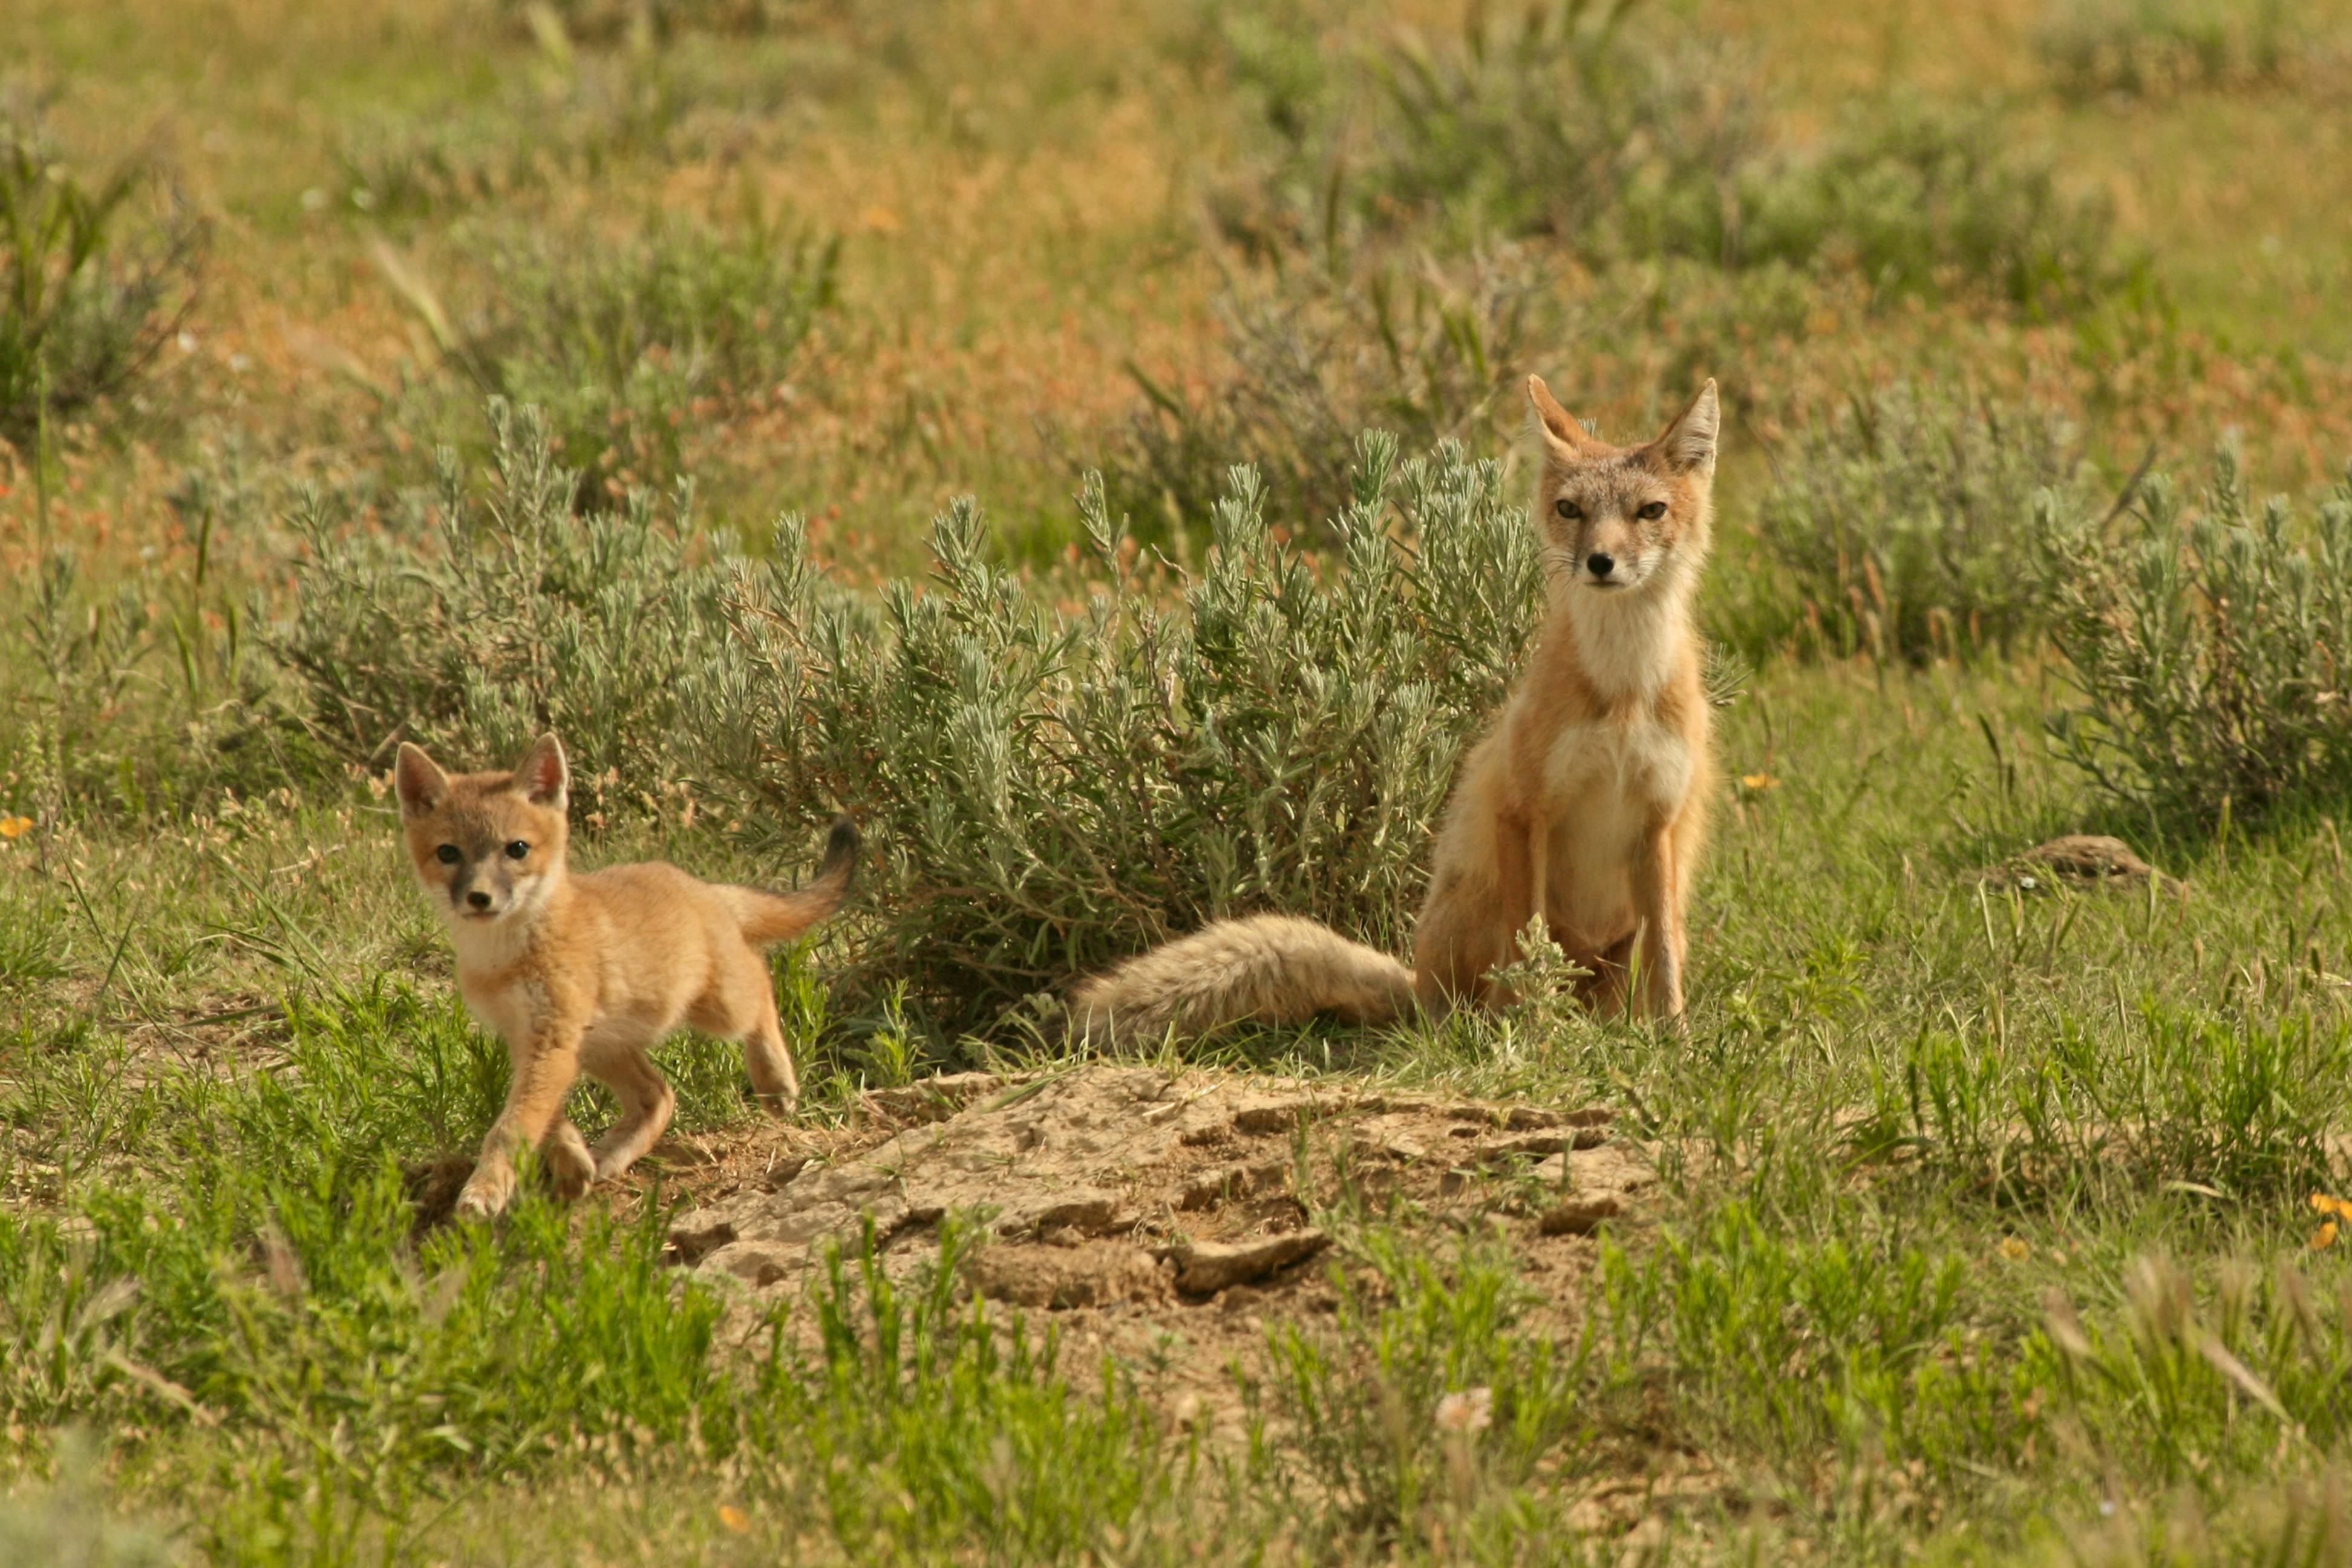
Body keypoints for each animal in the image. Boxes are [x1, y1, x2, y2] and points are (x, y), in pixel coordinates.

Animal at [392, 732, 857, 1219]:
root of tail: (701, 887)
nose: (479, 898)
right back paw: (608, 1157)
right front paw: (572, 1159)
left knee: (761, 982)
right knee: (660, 1095)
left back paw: (775, 1081)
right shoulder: (528, 1039)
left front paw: (485, 1189)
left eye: (516, 849)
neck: (504, 960)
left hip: (717, 1013)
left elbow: (512, 1126)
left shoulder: (552, 1040)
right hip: (603, 1047)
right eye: (448, 853)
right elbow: (542, 1117)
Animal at [1067, 376, 1719, 1040]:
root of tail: (1418, 985)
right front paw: (1529, 1034)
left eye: (1650, 511)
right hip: (1478, 903)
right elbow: (1526, 943)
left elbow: (1665, 955)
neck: (1622, 692)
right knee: (1486, 990)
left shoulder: (1659, 819)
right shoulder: (1522, 808)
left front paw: (1674, 1038)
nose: (1601, 562)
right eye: (1571, 510)